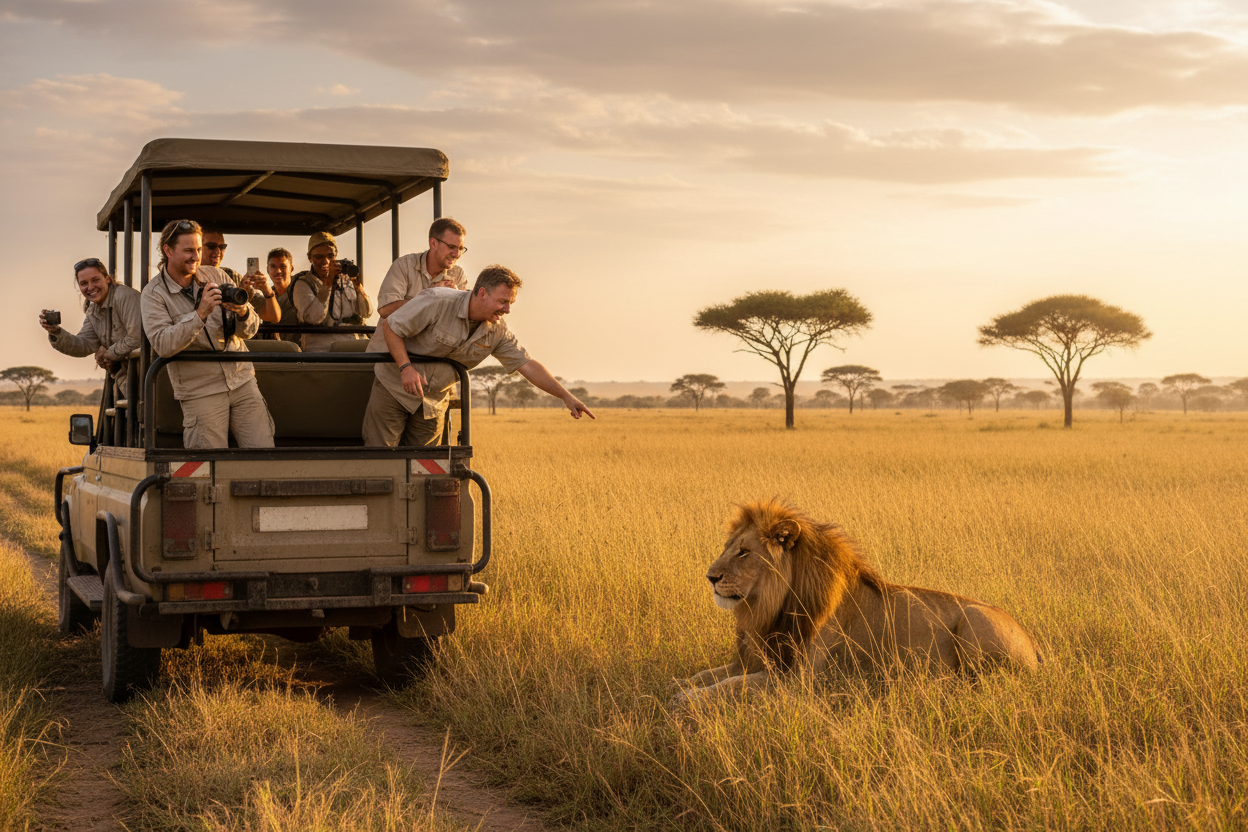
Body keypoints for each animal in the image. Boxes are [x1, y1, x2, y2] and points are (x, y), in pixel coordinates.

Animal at [674, 499, 1040, 705]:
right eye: (727, 547)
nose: (710, 577)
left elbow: (733, 685)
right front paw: (678, 685)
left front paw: (687, 699)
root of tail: (1034, 647)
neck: (770, 608)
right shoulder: (754, 660)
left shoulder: (798, 681)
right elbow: (708, 674)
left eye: (744, 552)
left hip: (975, 625)